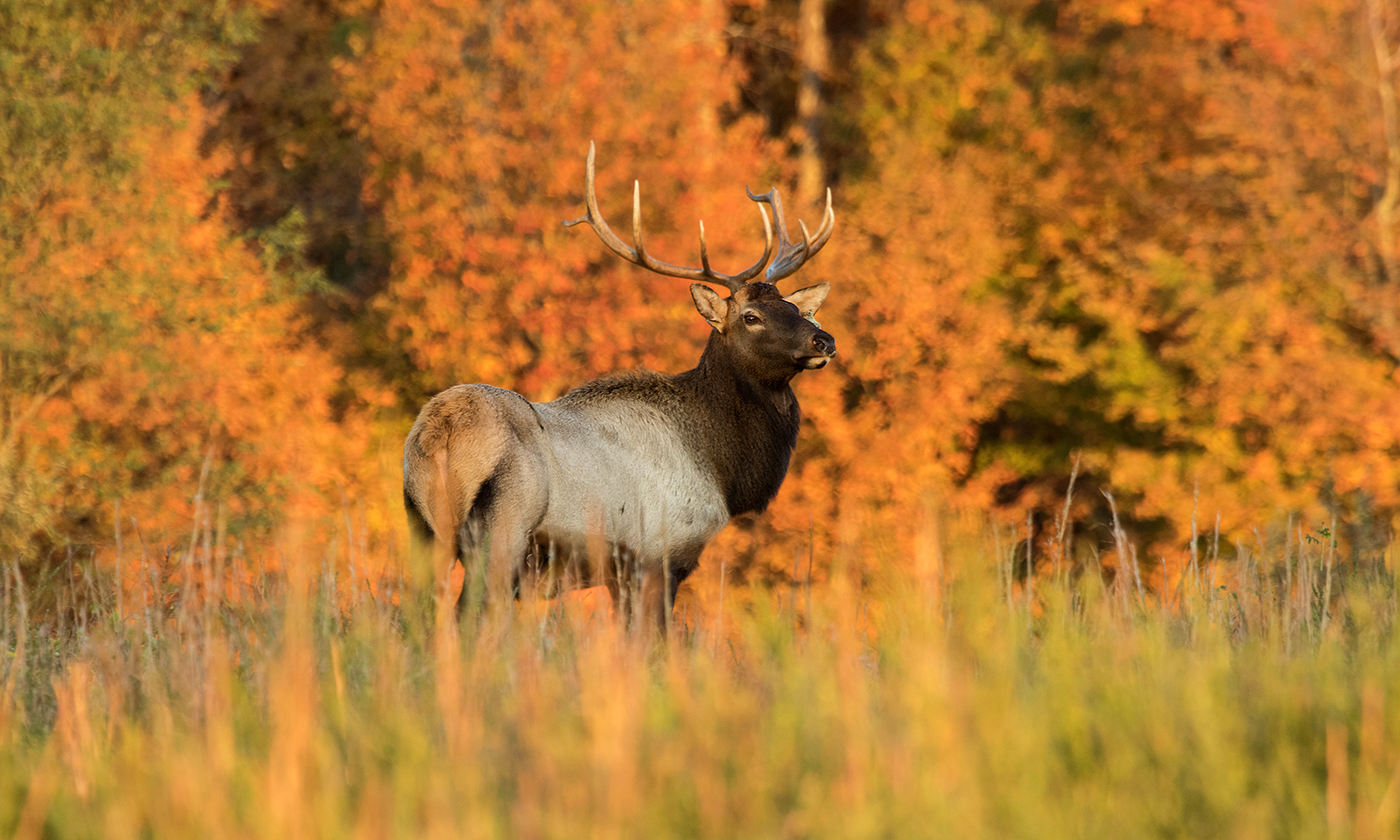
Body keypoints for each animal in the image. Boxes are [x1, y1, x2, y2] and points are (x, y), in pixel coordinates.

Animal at [402, 142, 835, 638]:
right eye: (751, 317)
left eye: (795, 309)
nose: (824, 340)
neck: (722, 469)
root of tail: (440, 432)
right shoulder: (660, 555)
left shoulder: (621, 573)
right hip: (503, 526)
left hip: (422, 529)